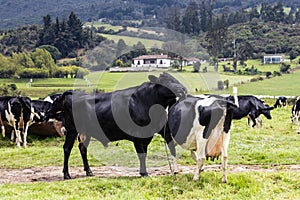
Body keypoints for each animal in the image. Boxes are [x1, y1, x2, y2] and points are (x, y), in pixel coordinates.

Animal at [45, 72, 186, 179]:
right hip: (72, 129)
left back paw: (89, 171)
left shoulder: (152, 133)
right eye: (165, 80)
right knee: (67, 148)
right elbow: (141, 154)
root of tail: (70, 94)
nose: (183, 89)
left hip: (86, 131)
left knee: (83, 148)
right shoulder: (137, 136)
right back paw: (66, 174)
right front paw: (144, 173)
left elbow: (151, 152)